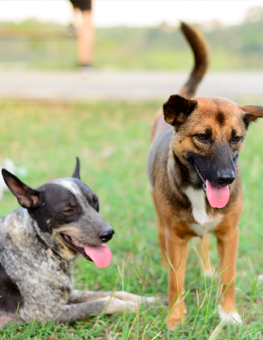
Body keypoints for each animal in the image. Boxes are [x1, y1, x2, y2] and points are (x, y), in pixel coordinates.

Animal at [0, 159, 155, 330]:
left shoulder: (69, 294)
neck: (41, 242)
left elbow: (115, 293)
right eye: (68, 211)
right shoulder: (47, 313)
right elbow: (106, 302)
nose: (108, 233)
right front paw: (135, 306)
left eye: (95, 201)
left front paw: (149, 300)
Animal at [147, 21, 263, 330]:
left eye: (236, 138)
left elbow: (229, 277)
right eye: (202, 137)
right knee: (162, 236)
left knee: (205, 241)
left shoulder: (230, 233)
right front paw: (175, 317)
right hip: (159, 213)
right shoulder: (176, 238)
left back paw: (208, 269)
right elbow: (176, 281)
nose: (226, 178)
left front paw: (229, 313)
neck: (198, 192)